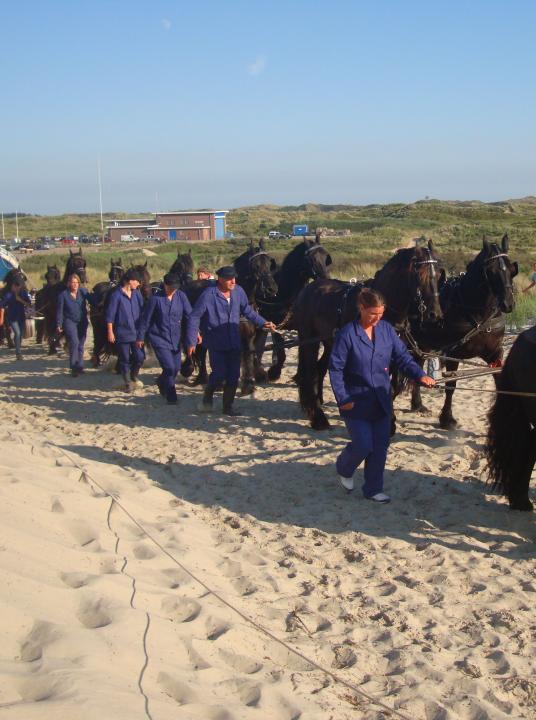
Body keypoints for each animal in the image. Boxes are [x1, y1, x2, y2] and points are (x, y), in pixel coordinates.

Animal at [286, 242, 442, 434]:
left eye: (439, 274)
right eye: (421, 274)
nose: (435, 314)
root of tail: (308, 289)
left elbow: (392, 388)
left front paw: (389, 420)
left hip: (330, 342)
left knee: (320, 369)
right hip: (310, 340)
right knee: (308, 373)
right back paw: (318, 418)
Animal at [408, 235, 516, 428]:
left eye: (511, 269)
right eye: (492, 271)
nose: (508, 304)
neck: (478, 314)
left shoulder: (494, 353)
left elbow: (499, 381)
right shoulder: (453, 354)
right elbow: (451, 385)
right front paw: (447, 418)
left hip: (421, 345)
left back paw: (417, 404)